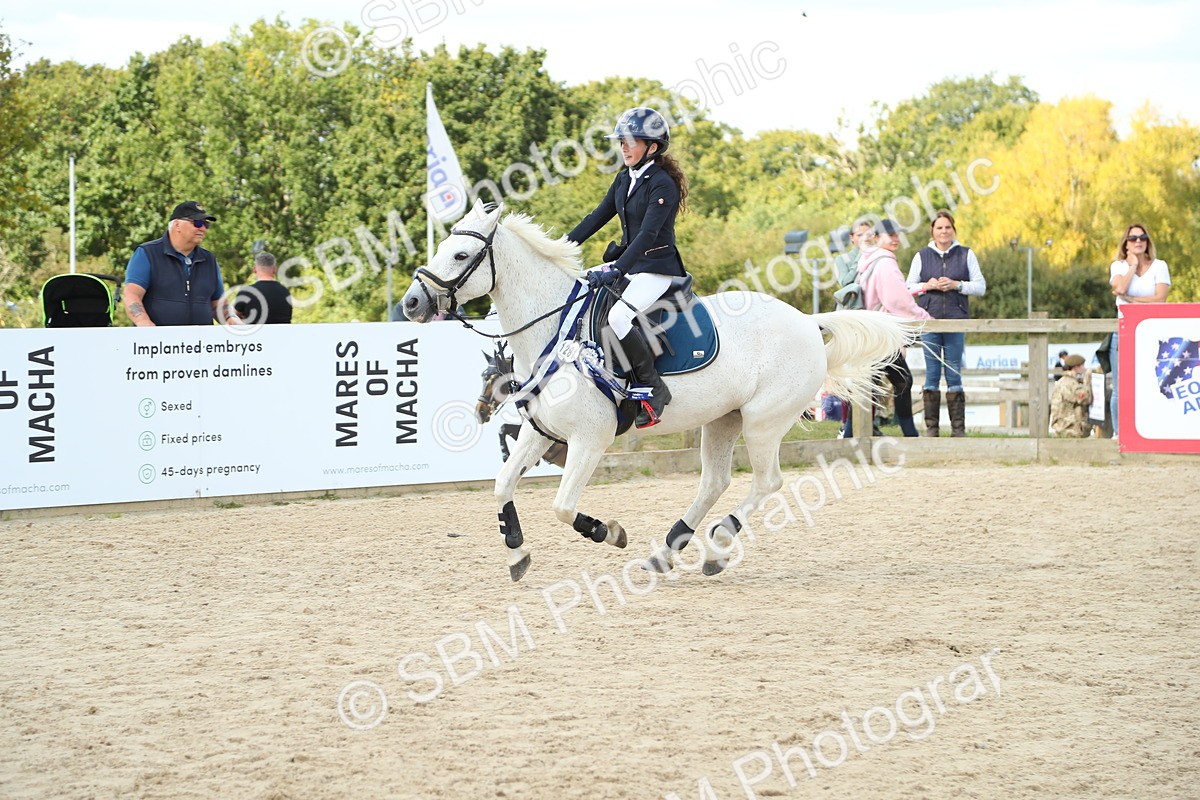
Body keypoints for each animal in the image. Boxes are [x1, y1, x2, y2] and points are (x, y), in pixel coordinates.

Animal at [401, 201, 918, 581]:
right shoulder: (541, 432)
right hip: (724, 420)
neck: (553, 331)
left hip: (763, 421)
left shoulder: (589, 439)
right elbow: (502, 484)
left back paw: (718, 543)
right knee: (715, 481)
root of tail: (809, 322)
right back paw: (671, 551)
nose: (411, 302)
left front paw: (609, 532)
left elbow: (563, 507)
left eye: (461, 256)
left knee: (767, 481)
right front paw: (516, 554)